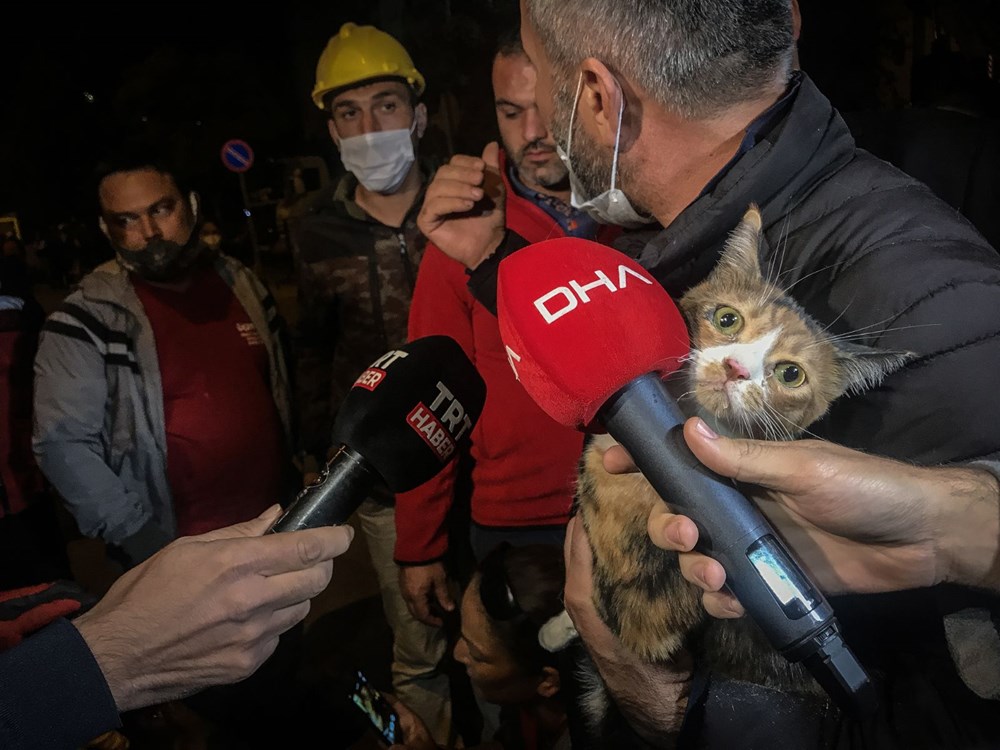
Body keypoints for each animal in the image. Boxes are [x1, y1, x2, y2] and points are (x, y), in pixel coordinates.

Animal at [544, 203, 916, 724]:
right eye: (726, 318)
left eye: (791, 374)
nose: (735, 369)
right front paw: (557, 624)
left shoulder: (648, 617)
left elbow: (620, 613)